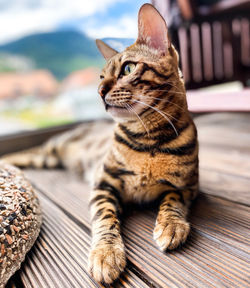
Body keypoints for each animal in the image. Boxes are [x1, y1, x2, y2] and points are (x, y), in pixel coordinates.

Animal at [0, 3, 198, 284]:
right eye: (101, 77)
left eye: (128, 69)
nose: (100, 91)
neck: (148, 139)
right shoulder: (103, 183)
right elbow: (105, 218)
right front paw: (106, 253)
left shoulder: (187, 185)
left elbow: (173, 201)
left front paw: (171, 225)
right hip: (52, 150)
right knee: (28, 151)